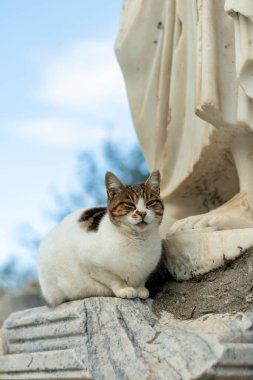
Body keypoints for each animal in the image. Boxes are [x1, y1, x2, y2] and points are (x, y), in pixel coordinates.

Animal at [37, 171, 164, 308]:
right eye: (129, 204)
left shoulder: (147, 269)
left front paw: (140, 288)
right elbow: (113, 278)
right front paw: (124, 289)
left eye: (150, 203)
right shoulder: (92, 264)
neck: (138, 241)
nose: (142, 213)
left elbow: (141, 280)